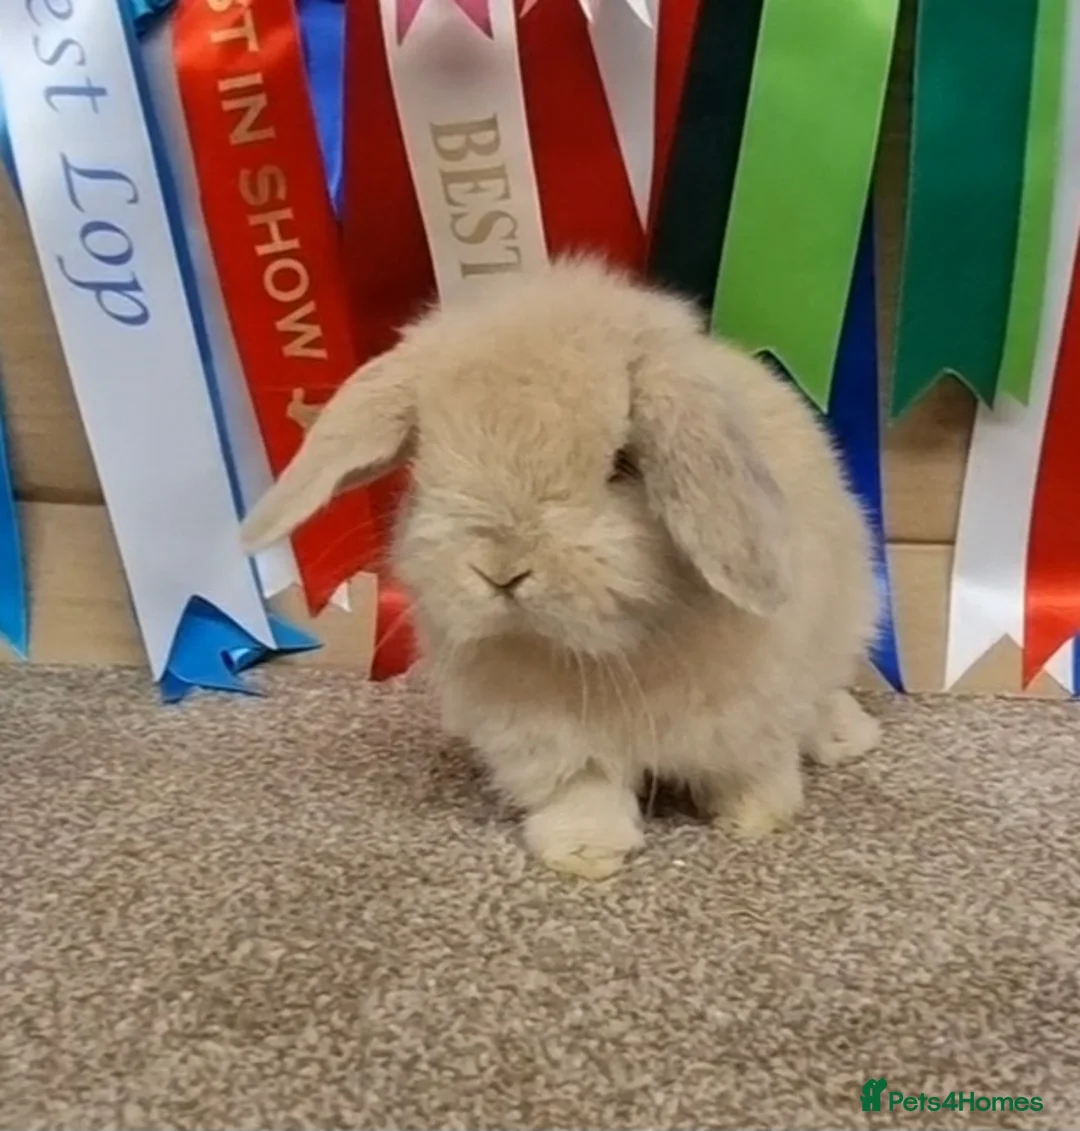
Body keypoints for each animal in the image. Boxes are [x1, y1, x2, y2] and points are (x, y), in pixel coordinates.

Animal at [242, 257, 881, 880]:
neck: (615, 652)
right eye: (424, 463)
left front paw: (753, 818)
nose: (501, 572)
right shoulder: (547, 738)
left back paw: (847, 737)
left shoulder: (756, 708)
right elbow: (584, 789)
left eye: (623, 465)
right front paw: (585, 854)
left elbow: (753, 765)